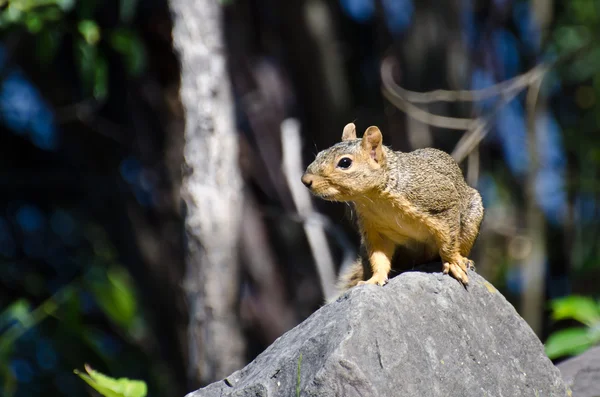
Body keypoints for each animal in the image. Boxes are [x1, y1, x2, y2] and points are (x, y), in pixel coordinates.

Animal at [300, 122, 482, 292]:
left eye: (345, 162)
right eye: (320, 154)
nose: (305, 180)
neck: (375, 198)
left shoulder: (441, 201)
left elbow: (448, 242)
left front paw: (453, 263)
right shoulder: (375, 229)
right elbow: (379, 256)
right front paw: (375, 278)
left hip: (471, 219)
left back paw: (464, 260)